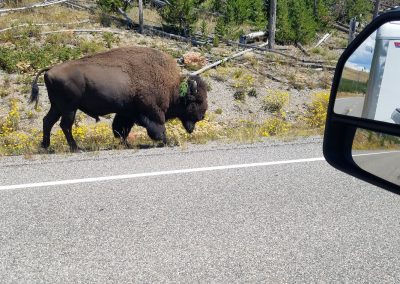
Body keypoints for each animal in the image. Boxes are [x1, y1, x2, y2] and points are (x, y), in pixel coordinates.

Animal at [29, 46, 208, 152]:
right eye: (197, 101)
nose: (202, 116)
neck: (172, 86)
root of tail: (50, 70)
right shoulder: (152, 112)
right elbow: (158, 128)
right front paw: (166, 141)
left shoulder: (126, 113)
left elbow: (120, 129)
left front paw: (126, 144)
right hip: (69, 108)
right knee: (65, 125)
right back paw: (75, 148)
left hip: (57, 107)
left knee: (48, 121)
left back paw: (45, 146)